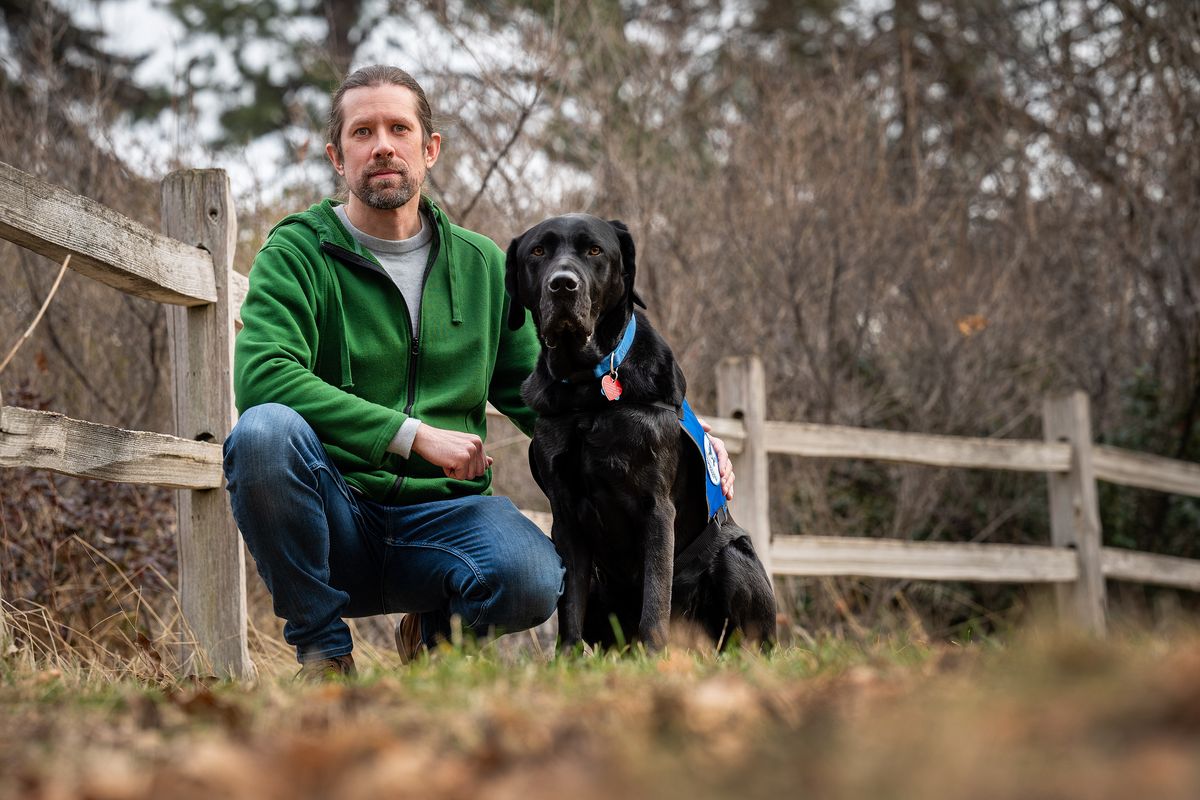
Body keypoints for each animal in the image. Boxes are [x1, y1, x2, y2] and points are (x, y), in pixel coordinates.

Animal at [501, 214, 772, 652]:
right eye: (538, 252)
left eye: (594, 250)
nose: (563, 284)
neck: (587, 392)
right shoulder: (565, 514)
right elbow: (570, 607)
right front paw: (567, 659)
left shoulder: (656, 507)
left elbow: (655, 596)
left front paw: (654, 655)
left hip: (732, 557)